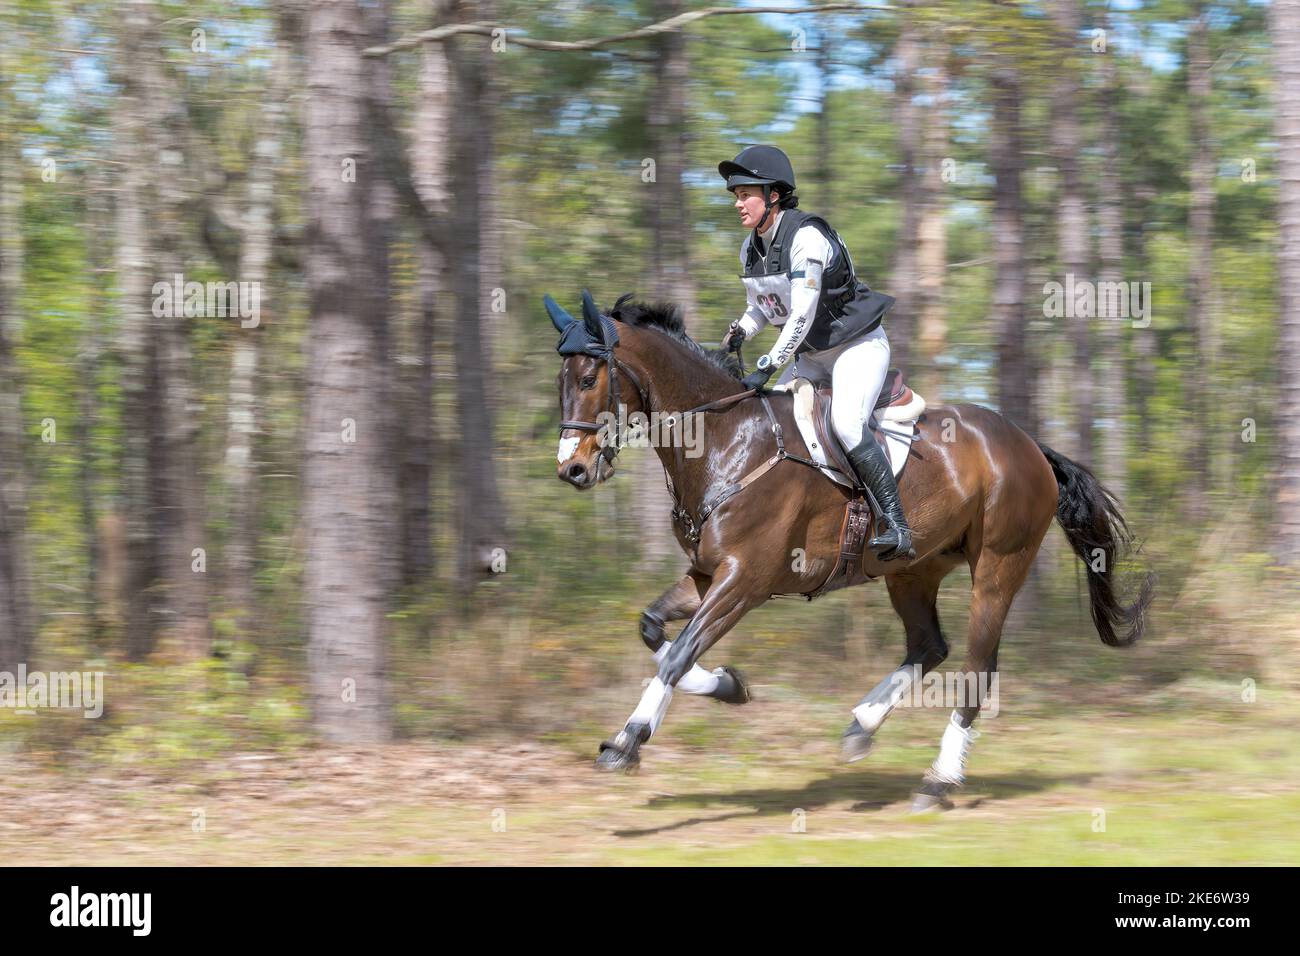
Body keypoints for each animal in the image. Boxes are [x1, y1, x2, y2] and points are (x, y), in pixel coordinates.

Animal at [543, 290, 1154, 806]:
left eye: (591, 376)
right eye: (562, 381)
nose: (572, 469)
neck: (726, 441)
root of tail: (1028, 445)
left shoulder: (745, 580)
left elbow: (677, 653)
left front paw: (627, 741)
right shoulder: (706, 574)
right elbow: (654, 631)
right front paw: (728, 686)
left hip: (999, 566)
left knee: (977, 667)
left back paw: (938, 780)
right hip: (913, 570)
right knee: (929, 646)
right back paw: (863, 724)